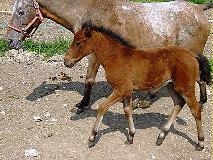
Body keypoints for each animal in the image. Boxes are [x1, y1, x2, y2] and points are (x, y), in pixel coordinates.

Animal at [6, 0, 211, 112]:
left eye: (21, 12)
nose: (9, 41)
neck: (88, 11)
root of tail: (199, 9)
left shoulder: (94, 55)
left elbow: (89, 79)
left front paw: (82, 104)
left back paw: (201, 101)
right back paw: (146, 100)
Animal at [64, 21, 211, 151]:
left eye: (78, 43)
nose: (66, 61)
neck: (116, 57)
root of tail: (192, 54)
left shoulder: (121, 89)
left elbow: (102, 107)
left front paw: (92, 137)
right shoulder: (127, 91)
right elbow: (127, 110)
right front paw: (131, 136)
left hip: (185, 88)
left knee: (196, 109)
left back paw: (200, 143)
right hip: (171, 86)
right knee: (179, 103)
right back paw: (161, 135)